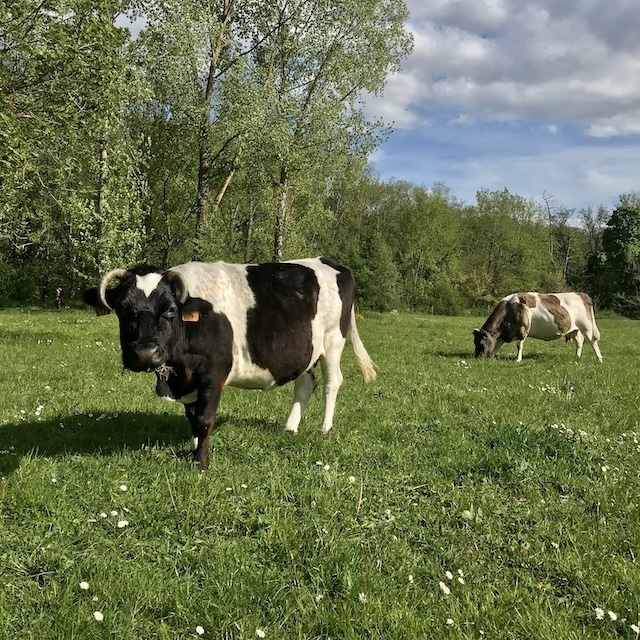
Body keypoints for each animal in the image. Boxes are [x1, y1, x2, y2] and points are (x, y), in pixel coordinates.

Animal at [82, 256, 378, 470]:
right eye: (122, 309)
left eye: (170, 310)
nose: (145, 353)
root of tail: (329, 261)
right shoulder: (188, 379)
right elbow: (192, 417)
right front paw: (193, 447)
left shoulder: (213, 373)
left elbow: (204, 418)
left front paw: (200, 461)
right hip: (307, 351)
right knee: (305, 385)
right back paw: (290, 428)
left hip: (333, 341)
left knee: (332, 382)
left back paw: (324, 428)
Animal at [472, 292, 604, 362]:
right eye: (475, 343)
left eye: (482, 344)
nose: (478, 357)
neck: (509, 308)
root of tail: (582, 294)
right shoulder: (506, 333)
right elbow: (497, 344)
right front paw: (492, 356)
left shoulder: (522, 329)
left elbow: (519, 345)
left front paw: (518, 359)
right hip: (575, 329)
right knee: (580, 341)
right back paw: (577, 357)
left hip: (586, 326)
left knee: (593, 341)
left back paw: (599, 359)